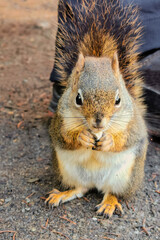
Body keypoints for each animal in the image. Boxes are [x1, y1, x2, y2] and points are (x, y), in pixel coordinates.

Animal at [45, 0, 148, 218]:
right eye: (78, 98)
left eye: (118, 100)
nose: (98, 122)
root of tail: (95, 183)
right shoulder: (59, 119)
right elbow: (63, 136)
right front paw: (82, 137)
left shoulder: (134, 124)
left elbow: (128, 138)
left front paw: (109, 140)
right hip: (67, 171)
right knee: (80, 189)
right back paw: (62, 194)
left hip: (125, 177)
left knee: (112, 192)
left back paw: (109, 203)